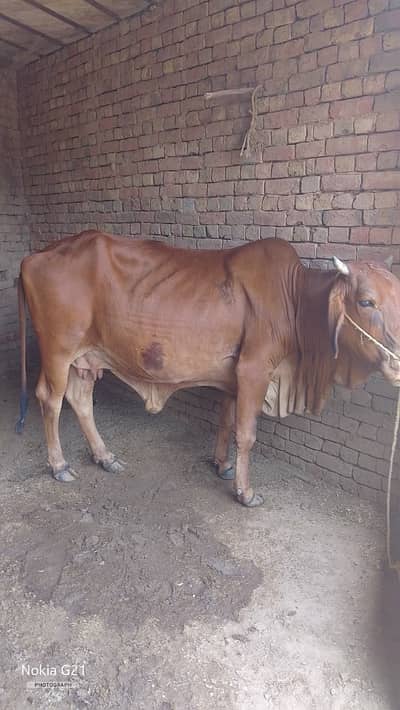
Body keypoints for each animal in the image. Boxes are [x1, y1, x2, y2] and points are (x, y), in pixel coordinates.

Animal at [16, 231, 400, 506]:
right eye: (366, 301)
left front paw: (222, 465)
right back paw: (60, 465)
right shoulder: (254, 369)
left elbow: (227, 420)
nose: (397, 358)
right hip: (58, 351)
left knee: (80, 400)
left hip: (86, 357)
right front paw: (245, 492)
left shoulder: (233, 376)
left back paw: (105, 457)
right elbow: (246, 433)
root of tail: (36, 256)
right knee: (50, 400)